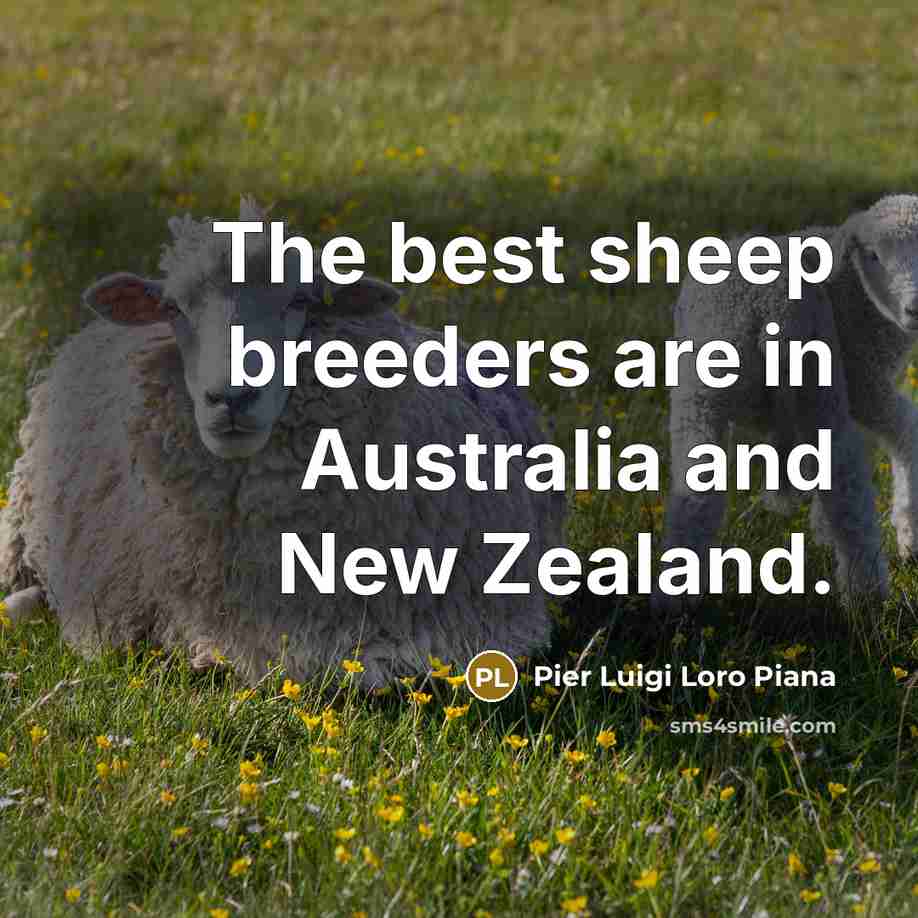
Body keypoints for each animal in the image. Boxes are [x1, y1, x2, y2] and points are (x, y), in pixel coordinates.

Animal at [660, 194, 918, 604]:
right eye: (874, 255)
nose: (915, 309)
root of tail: (765, 308)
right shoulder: (861, 378)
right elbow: (908, 429)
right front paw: (909, 534)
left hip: (700, 398)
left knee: (698, 498)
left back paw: (675, 599)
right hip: (818, 380)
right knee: (846, 486)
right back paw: (867, 595)